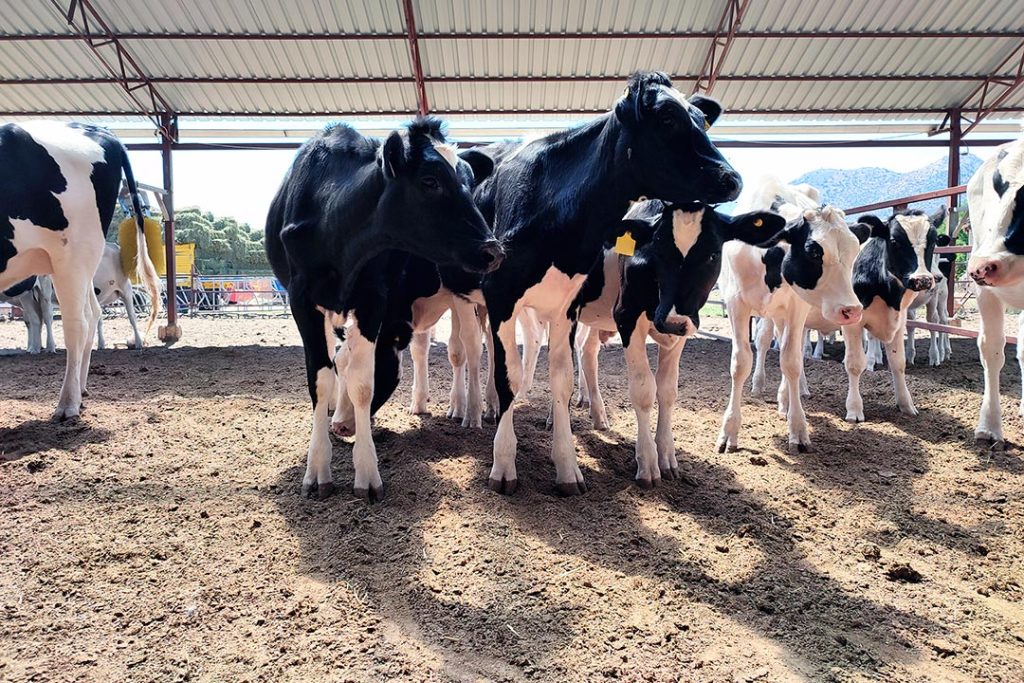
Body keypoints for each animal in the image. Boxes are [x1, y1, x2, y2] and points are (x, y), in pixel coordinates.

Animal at [266, 118, 501, 501]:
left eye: (467, 182)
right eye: (430, 180)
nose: (493, 249)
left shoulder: (375, 298)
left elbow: (365, 383)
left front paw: (366, 472)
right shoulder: (302, 300)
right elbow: (322, 377)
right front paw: (318, 467)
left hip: (469, 291)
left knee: (478, 346)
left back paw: (477, 409)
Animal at [481, 72, 745, 493]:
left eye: (701, 121)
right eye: (667, 119)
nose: (732, 178)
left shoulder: (567, 305)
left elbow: (562, 380)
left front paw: (567, 466)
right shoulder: (501, 294)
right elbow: (509, 376)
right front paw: (504, 464)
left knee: (578, 354)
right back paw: (483, 407)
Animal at [716, 180, 868, 454]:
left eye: (854, 253)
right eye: (814, 252)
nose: (851, 309)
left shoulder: (797, 307)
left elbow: (791, 363)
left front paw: (797, 428)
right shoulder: (735, 304)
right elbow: (740, 362)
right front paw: (729, 431)